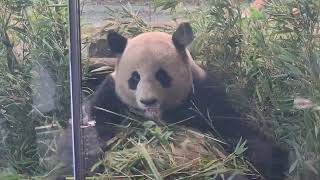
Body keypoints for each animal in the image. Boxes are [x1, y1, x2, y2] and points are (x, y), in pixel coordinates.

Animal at [81, 22, 288, 180]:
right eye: (134, 78)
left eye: (162, 76)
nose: (148, 101)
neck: (159, 117)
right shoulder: (110, 96)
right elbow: (95, 125)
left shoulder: (204, 95)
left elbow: (236, 130)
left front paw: (273, 163)